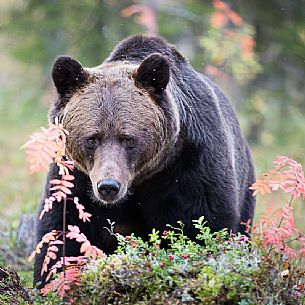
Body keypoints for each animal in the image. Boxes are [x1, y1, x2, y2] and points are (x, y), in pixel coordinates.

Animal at [34, 34, 255, 286]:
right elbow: (63, 233)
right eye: (92, 138)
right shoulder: (74, 177)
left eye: (128, 139)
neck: (141, 180)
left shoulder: (190, 166)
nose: (108, 186)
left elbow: (202, 225)